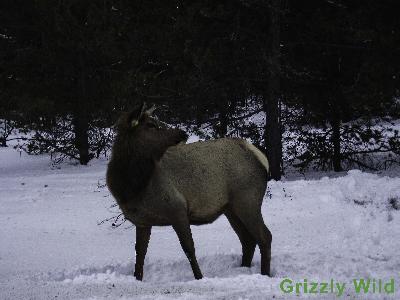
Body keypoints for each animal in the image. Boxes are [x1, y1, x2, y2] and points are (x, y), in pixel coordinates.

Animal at [107, 103, 272, 282]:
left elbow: (189, 248)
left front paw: (199, 277)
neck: (132, 188)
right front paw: (137, 278)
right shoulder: (142, 221)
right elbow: (140, 253)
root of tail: (261, 156)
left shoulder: (177, 208)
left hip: (248, 200)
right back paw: (243, 269)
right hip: (231, 208)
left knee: (265, 236)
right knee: (247, 240)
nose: (183, 133)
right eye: (150, 125)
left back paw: (265, 274)